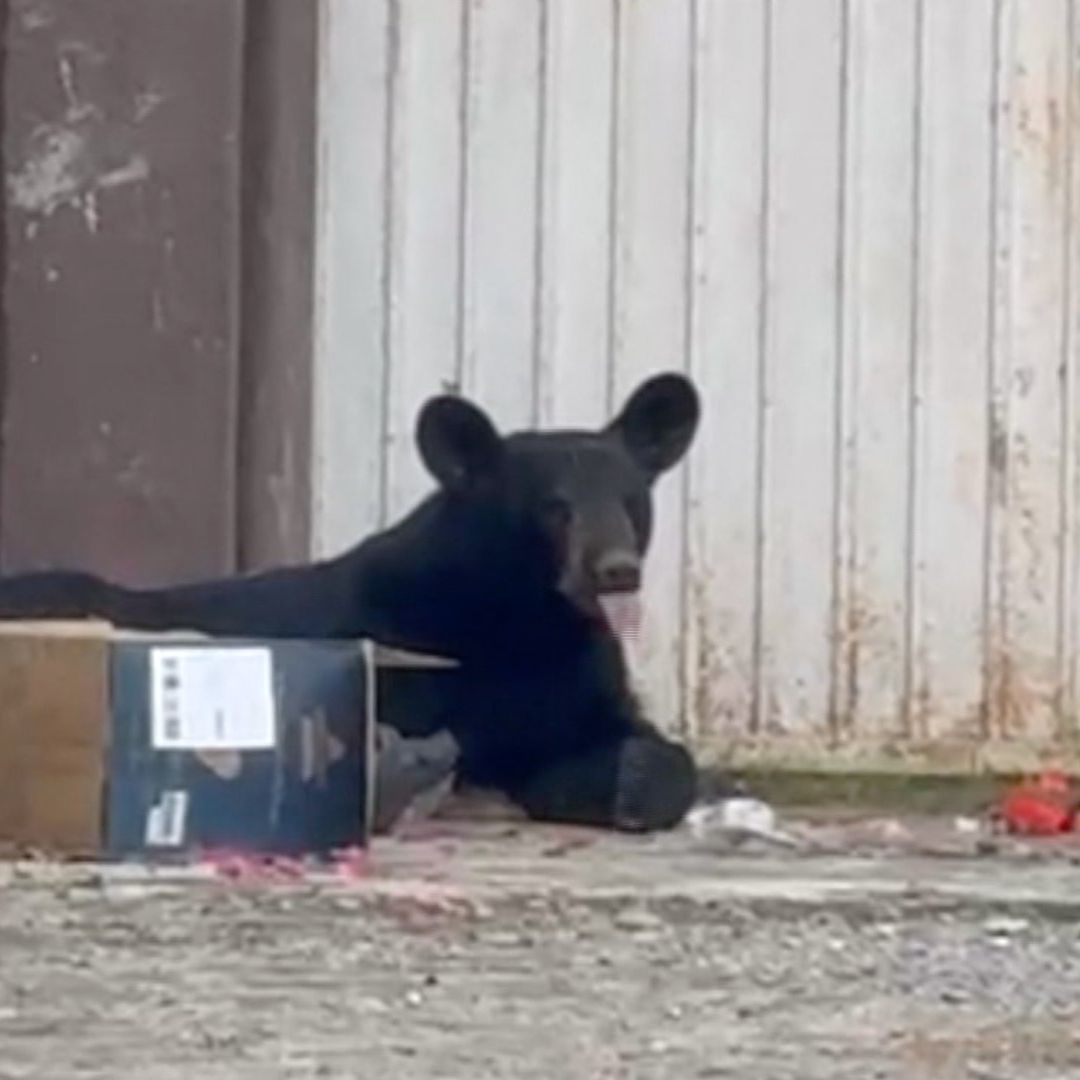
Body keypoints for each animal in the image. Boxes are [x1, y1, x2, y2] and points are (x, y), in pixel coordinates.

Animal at [0, 372, 701, 832]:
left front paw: (630, 779)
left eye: (632, 502)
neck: (524, 618)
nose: (616, 571)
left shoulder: (577, 675)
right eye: (554, 508)